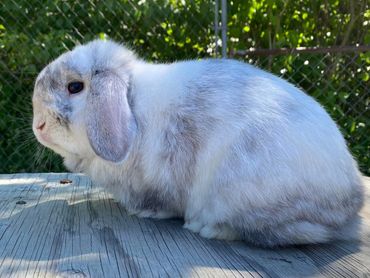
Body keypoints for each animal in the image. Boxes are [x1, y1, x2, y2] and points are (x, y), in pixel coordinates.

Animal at [32, 39, 364, 248]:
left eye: (75, 87)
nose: (38, 126)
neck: (132, 105)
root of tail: (351, 203)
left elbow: (161, 203)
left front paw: (147, 213)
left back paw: (208, 228)